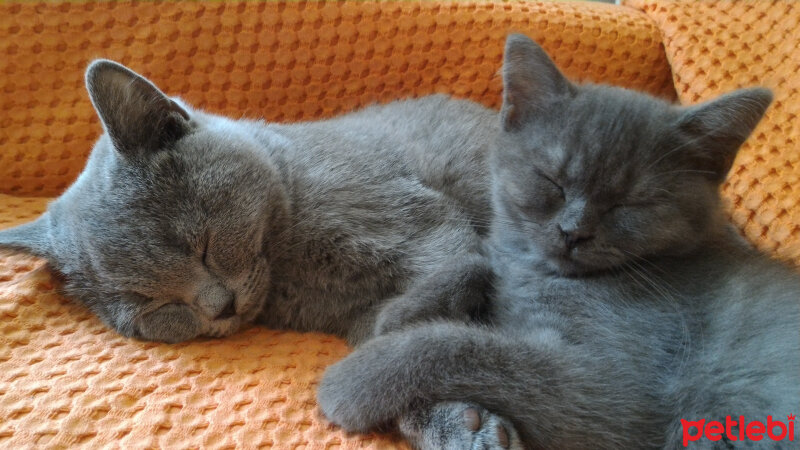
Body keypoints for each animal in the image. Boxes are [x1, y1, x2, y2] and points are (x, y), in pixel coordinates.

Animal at [1, 59, 500, 346]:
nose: (219, 307)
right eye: (152, 307)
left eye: (201, 245)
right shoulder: (350, 315)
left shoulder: (417, 221)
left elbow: (447, 270)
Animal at [318, 35, 800, 450]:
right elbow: (476, 263)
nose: (574, 232)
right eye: (552, 181)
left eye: (630, 203)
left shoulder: (612, 390)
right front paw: (399, 314)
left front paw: (352, 381)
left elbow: (463, 346)